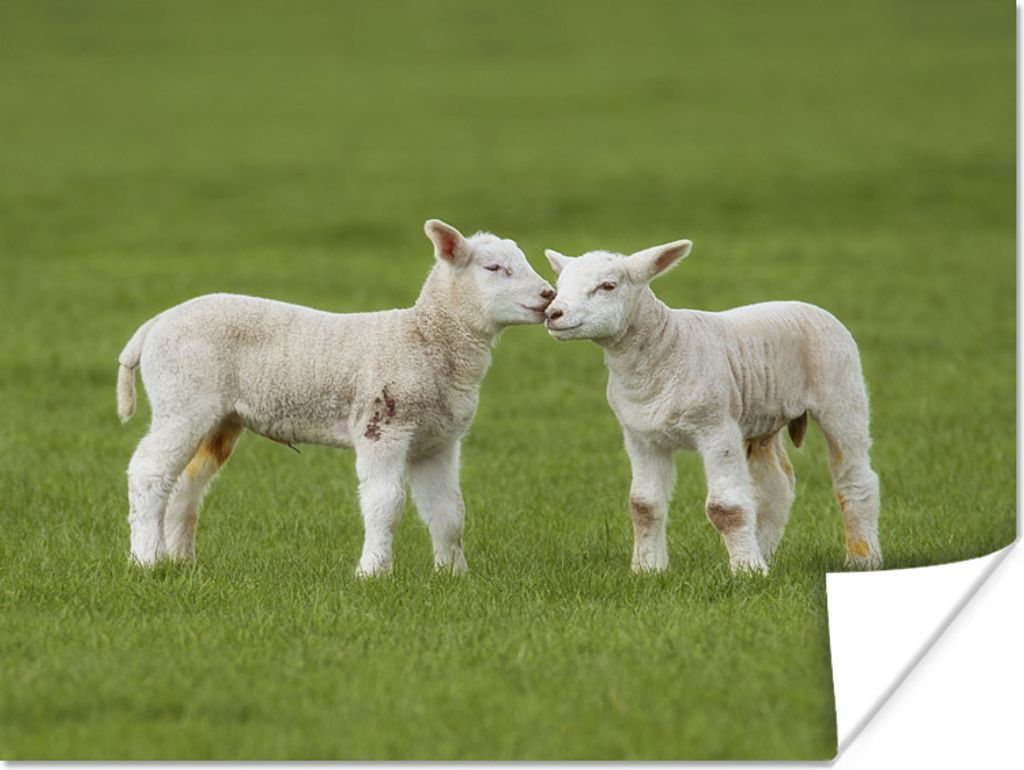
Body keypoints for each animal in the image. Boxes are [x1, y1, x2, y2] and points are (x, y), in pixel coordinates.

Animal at [117, 219, 555, 576]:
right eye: (493, 268)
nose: (549, 294)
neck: (423, 338)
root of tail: (154, 324)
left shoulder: (438, 441)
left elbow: (448, 510)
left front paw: (453, 574)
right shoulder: (382, 426)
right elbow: (385, 502)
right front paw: (373, 572)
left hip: (219, 417)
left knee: (186, 483)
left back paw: (179, 559)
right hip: (182, 398)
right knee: (149, 472)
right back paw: (145, 560)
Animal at [543, 240, 881, 575]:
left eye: (608, 286)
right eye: (558, 286)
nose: (553, 313)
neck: (664, 348)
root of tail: (806, 305)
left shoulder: (716, 428)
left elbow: (726, 508)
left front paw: (745, 571)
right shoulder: (641, 436)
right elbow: (643, 505)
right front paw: (647, 570)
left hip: (841, 390)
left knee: (855, 478)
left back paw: (863, 558)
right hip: (762, 417)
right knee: (775, 487)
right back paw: (764, 553)